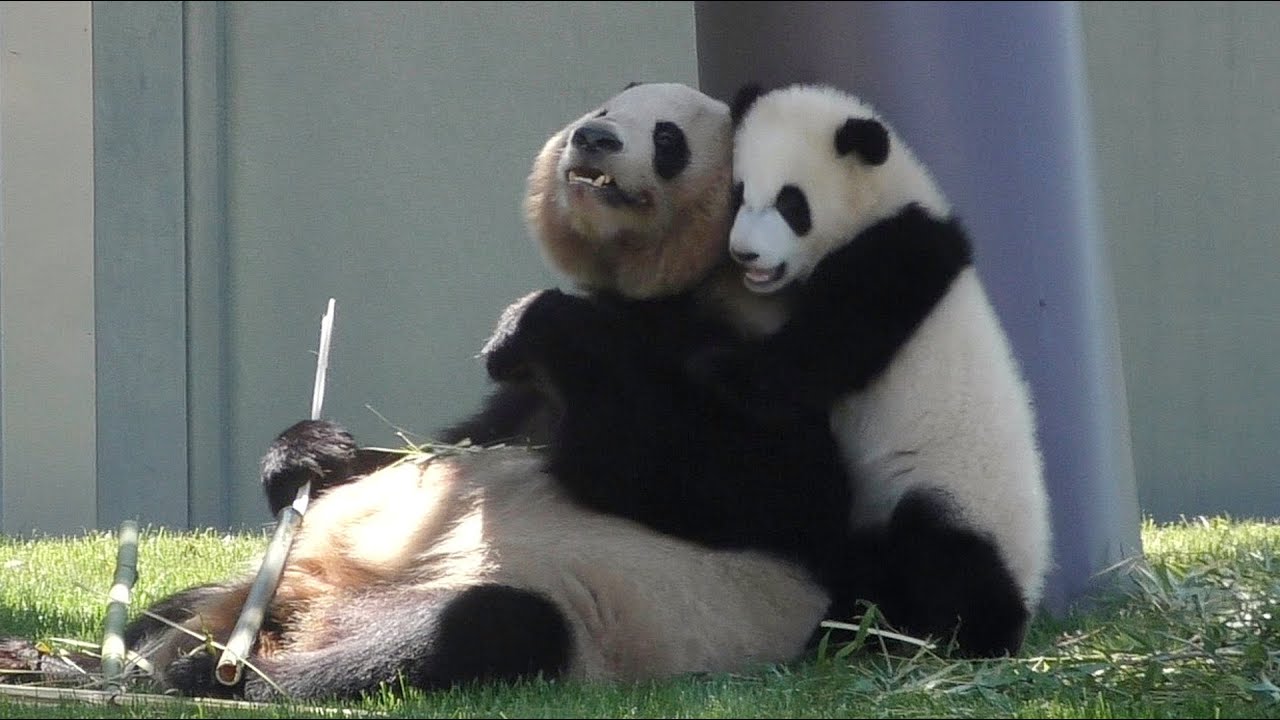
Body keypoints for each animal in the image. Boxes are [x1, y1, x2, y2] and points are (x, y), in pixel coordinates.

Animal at [123, 82, 844, 702]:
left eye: (668, 138)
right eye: (604, 107)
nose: (593, 136)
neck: (650, 295)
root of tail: (311, 610)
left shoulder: (755, 349)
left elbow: (749, 483)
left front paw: (537, 323)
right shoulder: (520, 407)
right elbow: (446, 445)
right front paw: (310, 452)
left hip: (581, 624)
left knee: (480, 629)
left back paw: (225, 675)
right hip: (264, 586)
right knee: (178, 605)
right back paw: (144, 654)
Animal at [702, 82, 1054, 658]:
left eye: (791, 204)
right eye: (738, 194)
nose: (744, 254)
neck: (880, 199)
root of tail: (1031, 575)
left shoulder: (898, 256)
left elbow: (820, 354)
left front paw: (716, 365)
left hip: (963, 494)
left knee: (946, 555)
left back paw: (971, 634)